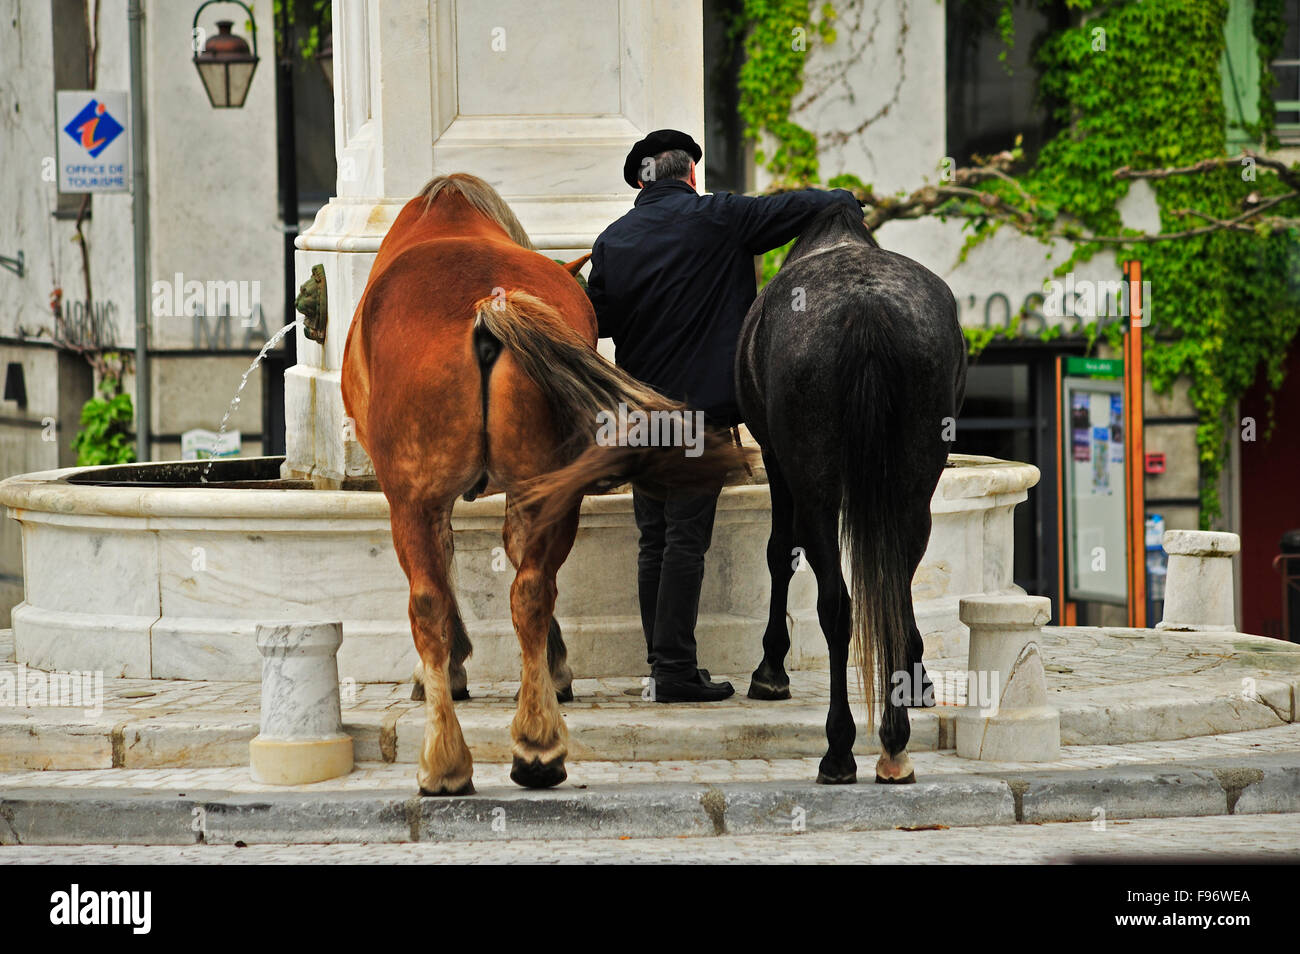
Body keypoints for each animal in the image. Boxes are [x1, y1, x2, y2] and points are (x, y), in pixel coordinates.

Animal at [341, 173, 744, 795]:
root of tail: (488, 305)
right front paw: (549, 674)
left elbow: (448, 571)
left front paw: (450, 670)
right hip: (542, 488)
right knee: (530, 589)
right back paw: (537, 746)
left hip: (411, 499)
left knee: (430, 602)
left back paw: (448, 761)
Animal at [736, 201, 967, 785]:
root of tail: (867, 309)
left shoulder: (776, 460)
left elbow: (779, 553)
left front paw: (771, 669)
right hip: (914, 483)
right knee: (895, 588)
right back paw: (894, 739)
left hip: (816, 486)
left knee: (837, 606)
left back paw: (840, 749)